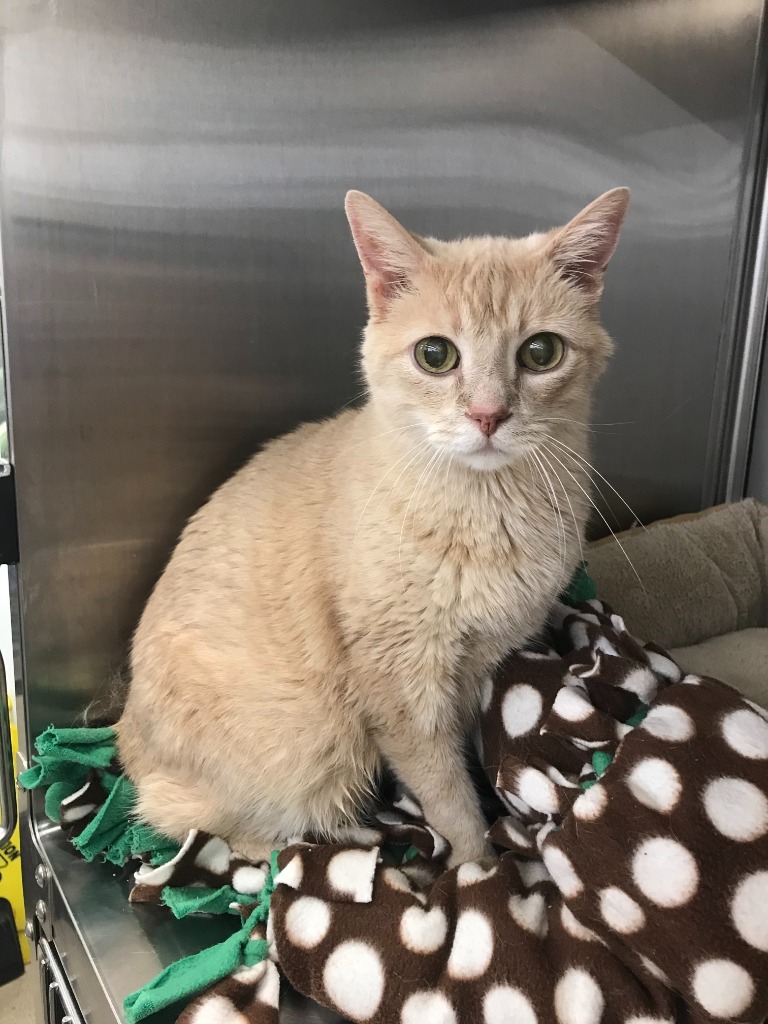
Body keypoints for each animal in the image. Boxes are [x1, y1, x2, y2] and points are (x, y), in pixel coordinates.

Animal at [117, 186, 626, 864]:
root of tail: (121, 733)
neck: (485, 510)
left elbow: (466, 756)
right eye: (436, 355)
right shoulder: (403, 687)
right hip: (316, 747)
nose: (488, 415)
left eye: (541, 352)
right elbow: (445, 793)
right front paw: (477, 864)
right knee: (208, 829)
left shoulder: (474, 666)